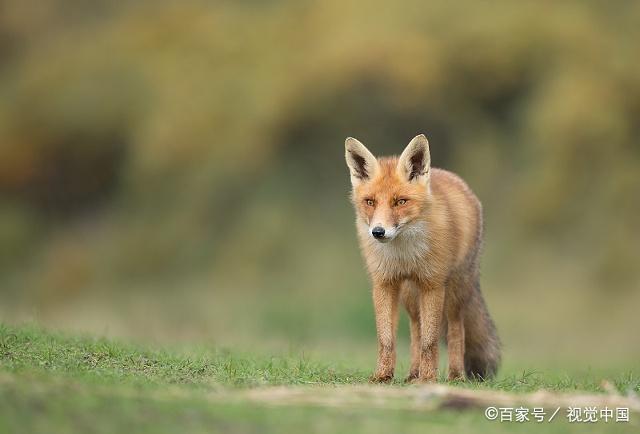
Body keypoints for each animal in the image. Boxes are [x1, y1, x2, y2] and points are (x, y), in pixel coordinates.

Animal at [344, 134, 500, 382]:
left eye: (400, 201)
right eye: (370, 202)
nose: (378, 232)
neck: (404, 255)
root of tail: (454, 178)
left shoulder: (432, 285)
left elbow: (430, 341)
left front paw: (428, 378)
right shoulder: (384, 283)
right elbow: (387, 339)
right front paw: (383, 376)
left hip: (454, 291)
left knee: (456, 329)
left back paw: (455, 375)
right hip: (410, 295)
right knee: (416, 329)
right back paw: (412, 373)